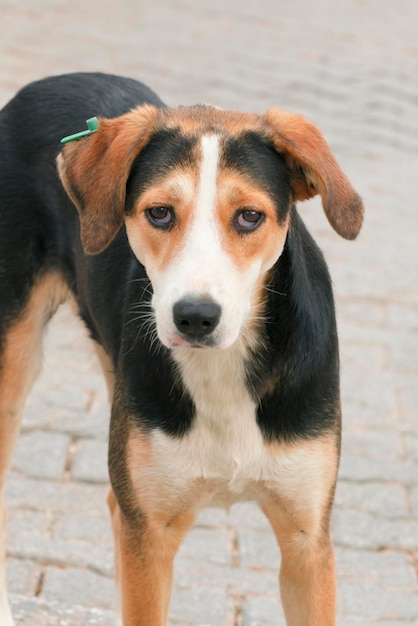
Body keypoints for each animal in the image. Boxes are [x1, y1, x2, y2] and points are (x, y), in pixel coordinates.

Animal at [0, 70, 362, 620]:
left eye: (250, 217)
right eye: (160, 213)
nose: (195, 316)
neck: (222, 368)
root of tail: (45, 84)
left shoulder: (307, 542)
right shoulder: (151, 536)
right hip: (12, 364)